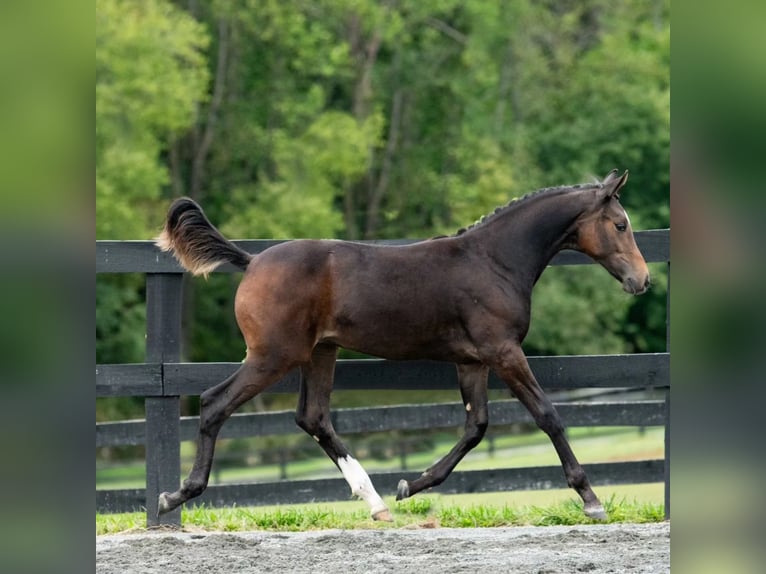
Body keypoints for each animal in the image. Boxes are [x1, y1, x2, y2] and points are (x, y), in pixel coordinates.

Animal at [159, 170, 652, 520]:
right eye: (620, 224)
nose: (642, 281)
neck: (494, 261)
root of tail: (253, 260)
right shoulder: (504, 352)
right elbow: (547, 416)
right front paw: (590, 499)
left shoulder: (473, 361)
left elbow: (475, 427)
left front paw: (410, 486)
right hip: (274, 356)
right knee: (214, 403)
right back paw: (177, 495)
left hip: (319, 353)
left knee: (312, 417)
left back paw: (376, 501)